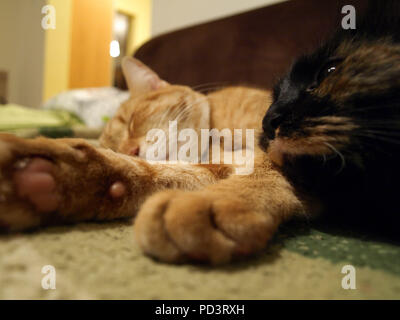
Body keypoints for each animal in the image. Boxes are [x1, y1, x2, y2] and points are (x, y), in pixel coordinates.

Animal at [0, 58, 304, 264]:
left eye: (133, 121)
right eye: (119, 147)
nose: (132, 150)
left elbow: (259, 170)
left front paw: (220, 201)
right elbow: (155, 174)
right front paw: (60, 179)